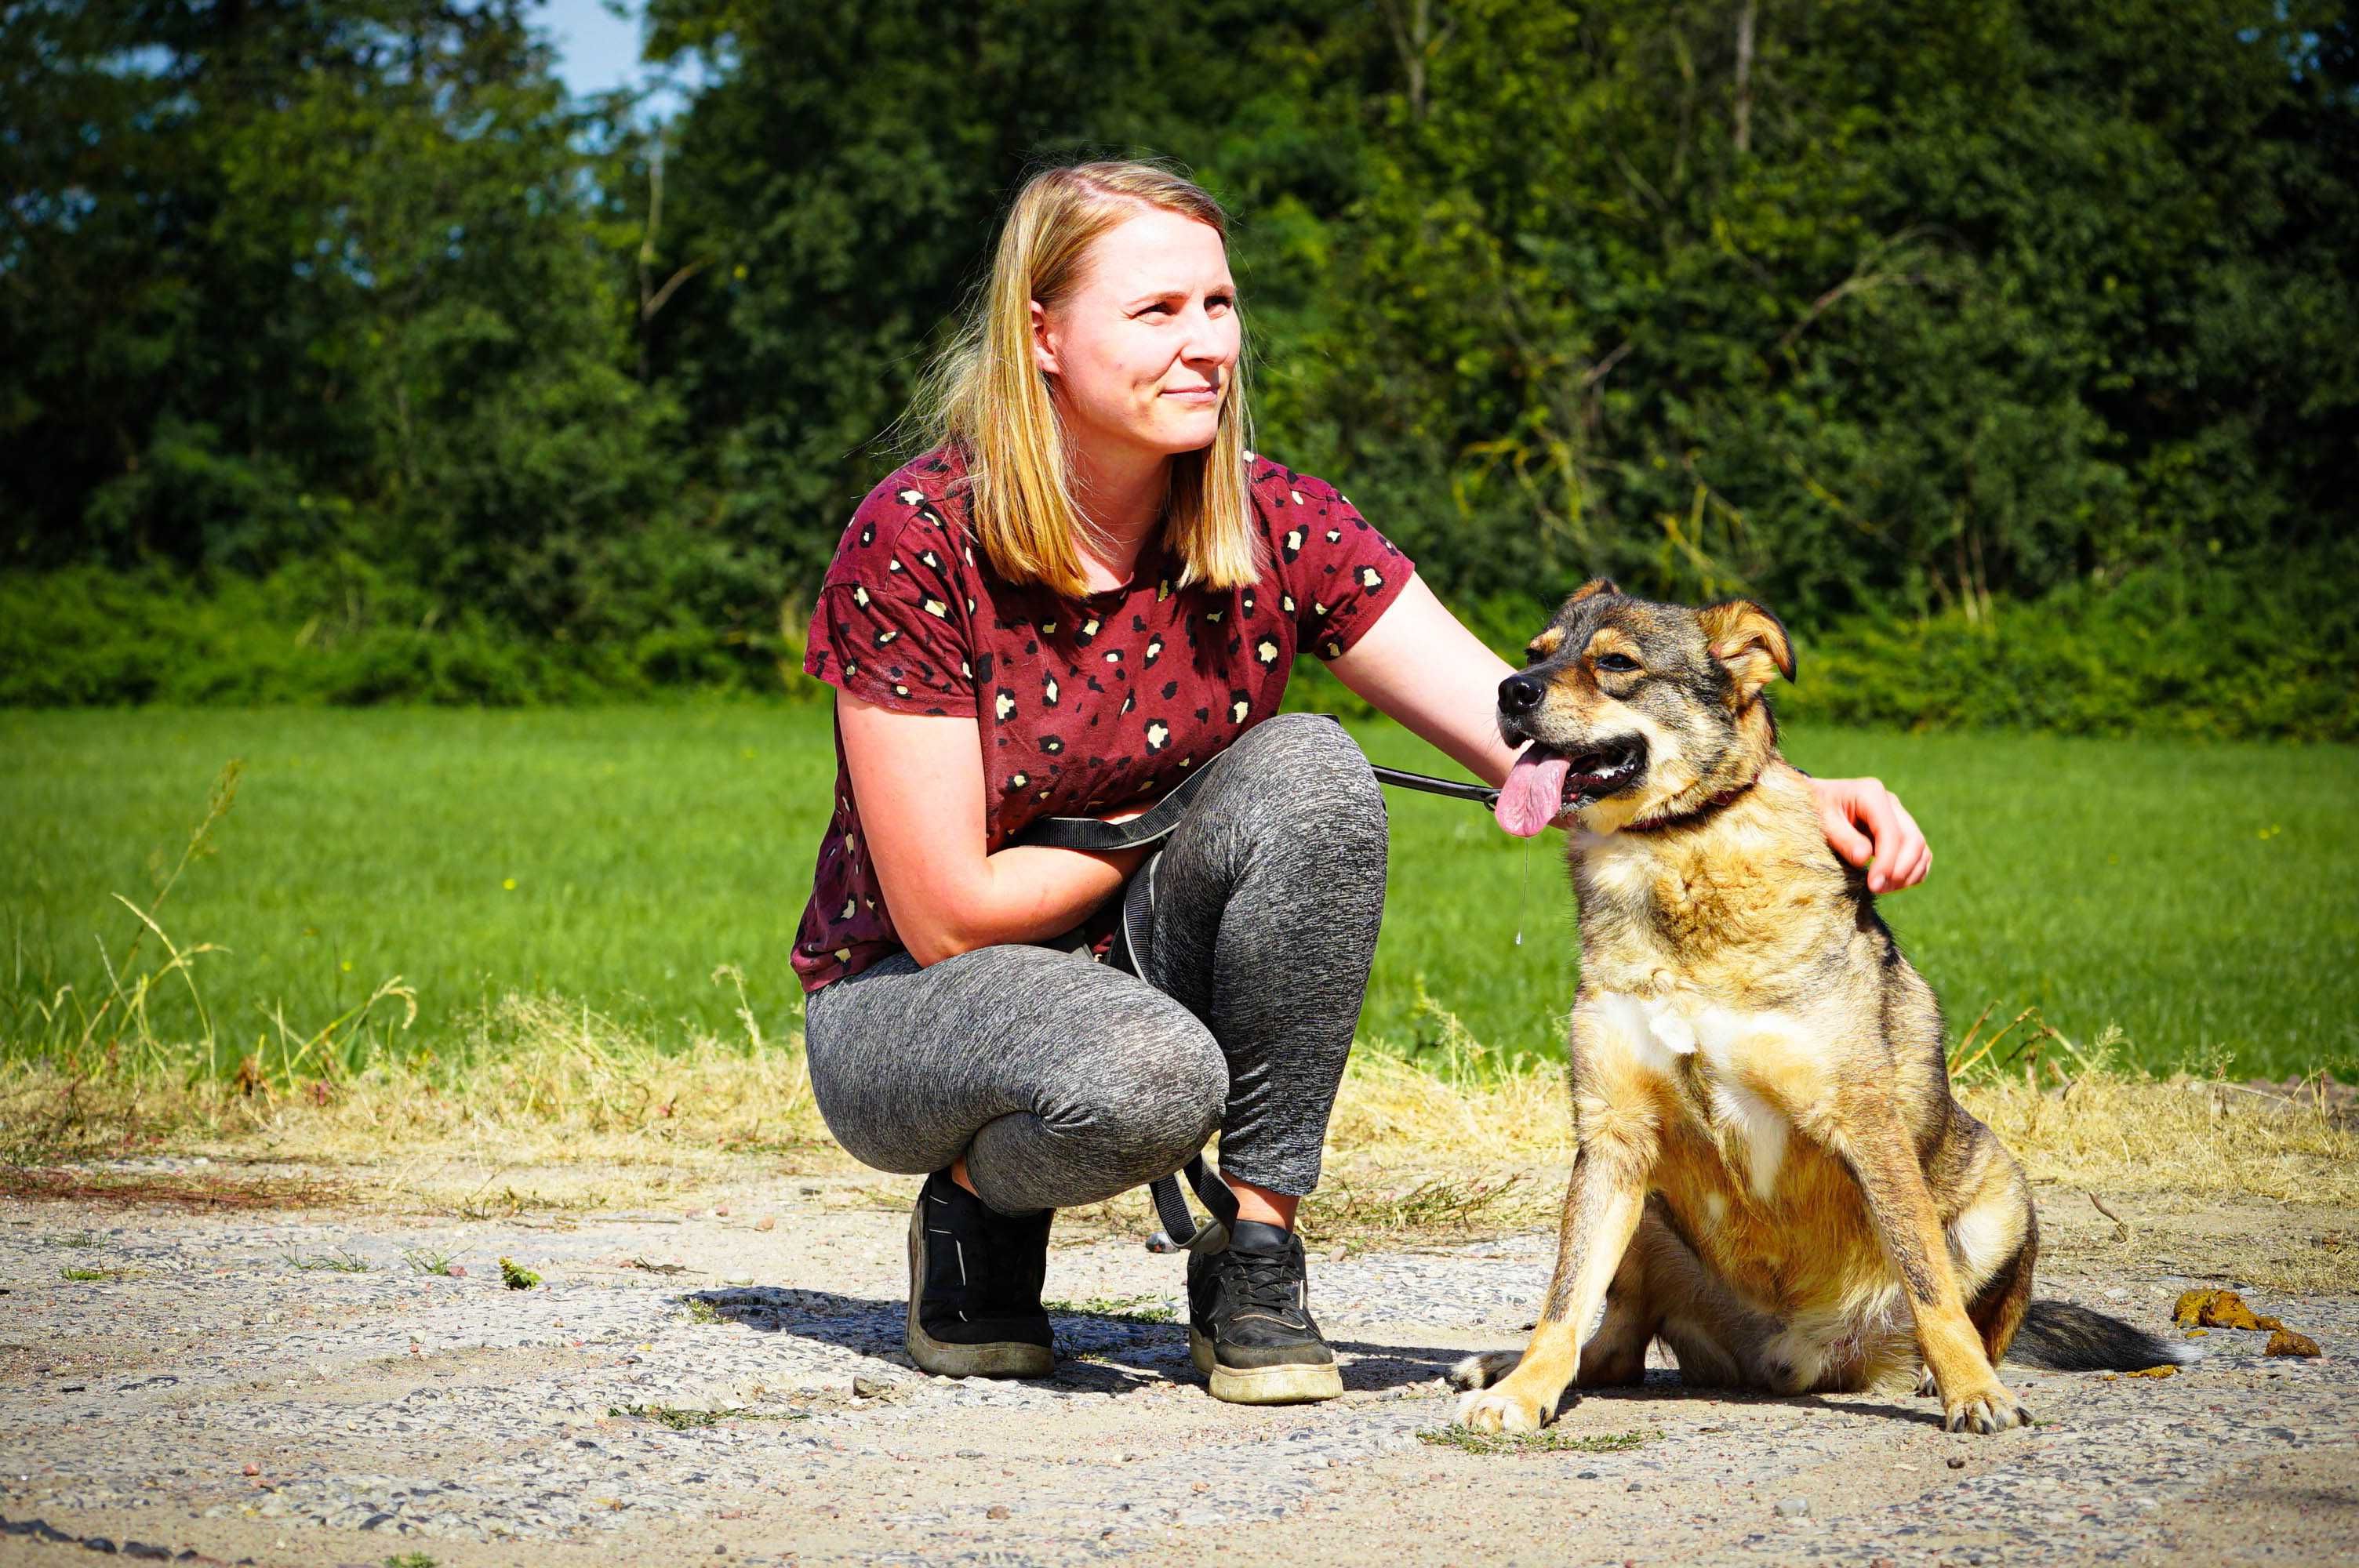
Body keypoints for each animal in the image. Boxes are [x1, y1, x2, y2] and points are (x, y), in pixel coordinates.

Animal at [1452, 577, 2189, 1433]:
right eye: (1534, 653)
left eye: (1615, 663)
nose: (1509, 691)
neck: (1677, 854)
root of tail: (1790, 1359)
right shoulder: (1611, 1134)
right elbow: (1563, 1299)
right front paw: (1523, 1390)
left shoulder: (1862, 1121)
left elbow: (1930, 1284)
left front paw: (1975, 1392)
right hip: (1647, 1214)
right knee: (1613, 1347)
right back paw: (1504, 1367)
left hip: (2002, 1189)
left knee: (1974, 1316)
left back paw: (1942, 1375)